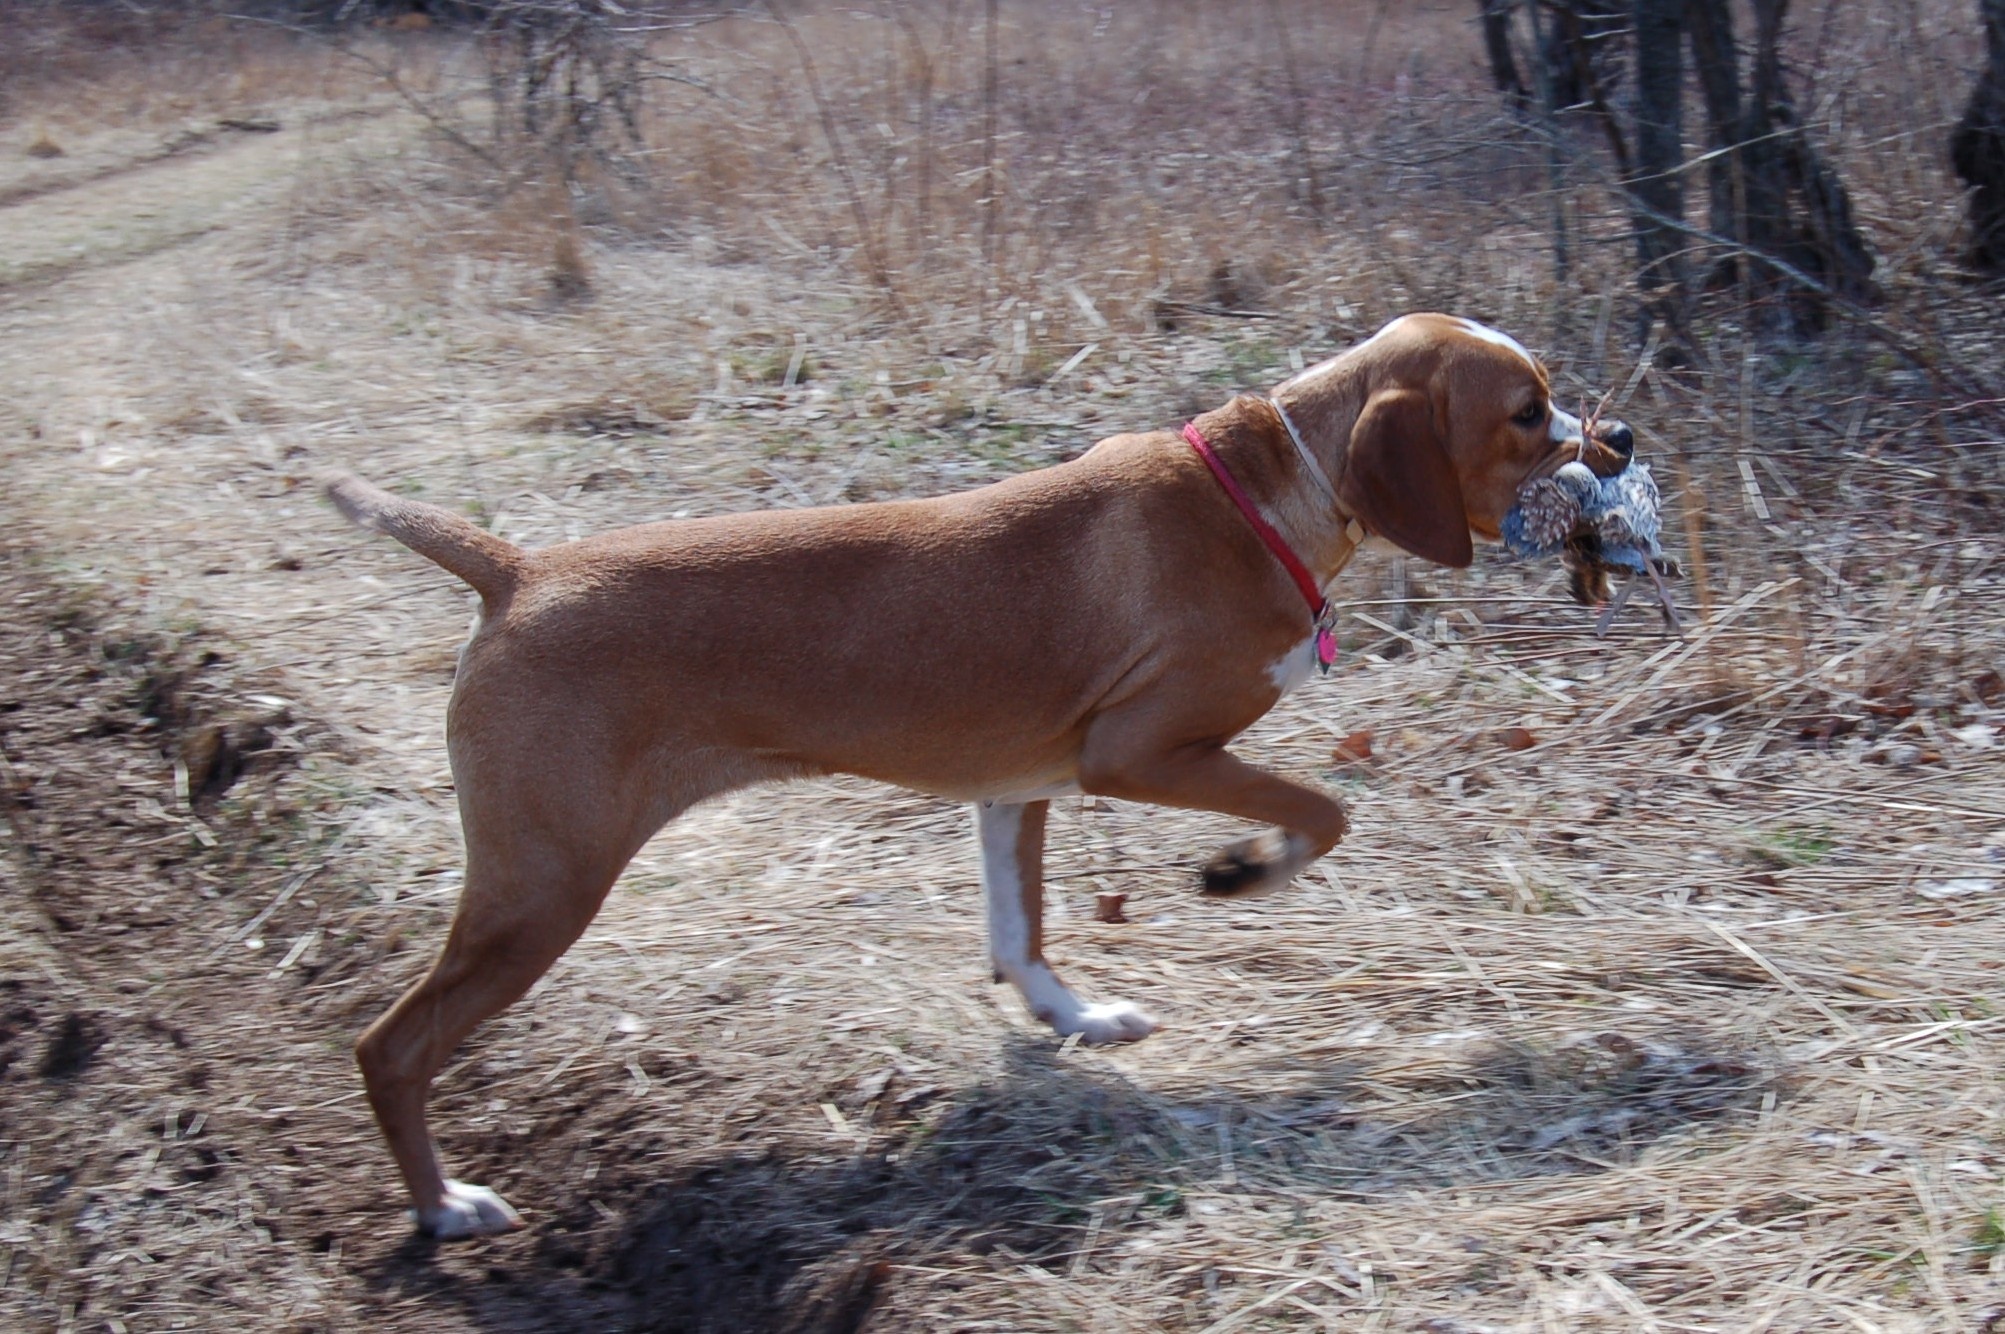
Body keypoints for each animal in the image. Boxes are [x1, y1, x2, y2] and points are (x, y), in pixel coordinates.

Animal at [316, 312, 1628, 1235]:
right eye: (1528, 410)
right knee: (391, 1045)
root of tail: (518, 572)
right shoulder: (1138, 752)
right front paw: (1245, 868)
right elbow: (1320, 806)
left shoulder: (1018, 784)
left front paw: (1075, 1016)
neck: (1270, 492)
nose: (1618, 441)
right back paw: (443, 1206)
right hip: (541, 891)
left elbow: (1018, 930)